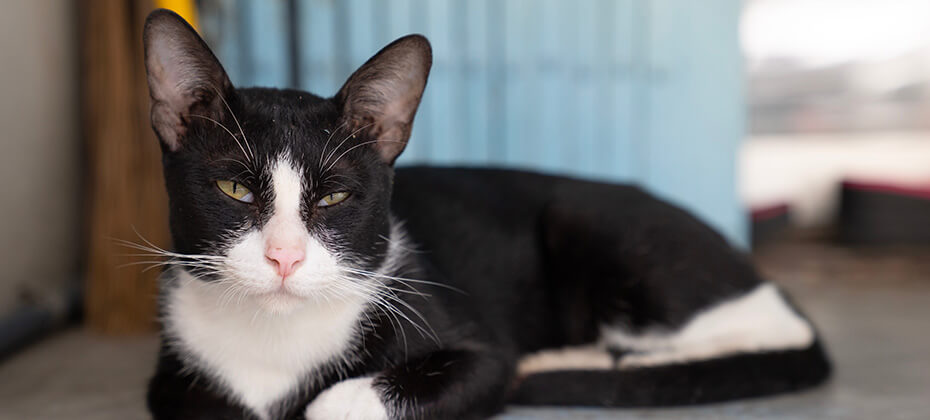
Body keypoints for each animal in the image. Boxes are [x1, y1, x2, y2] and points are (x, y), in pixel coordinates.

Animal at [143, 9, 828, 420]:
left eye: (334, 198)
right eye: (234, 188)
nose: (284, 256)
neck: (276, 342)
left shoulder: (475, 346)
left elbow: (358, 398)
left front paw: (323, 403)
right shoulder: (174, 372)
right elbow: (193, 402)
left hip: (592, 224)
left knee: (753, 332)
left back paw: (572, 361)